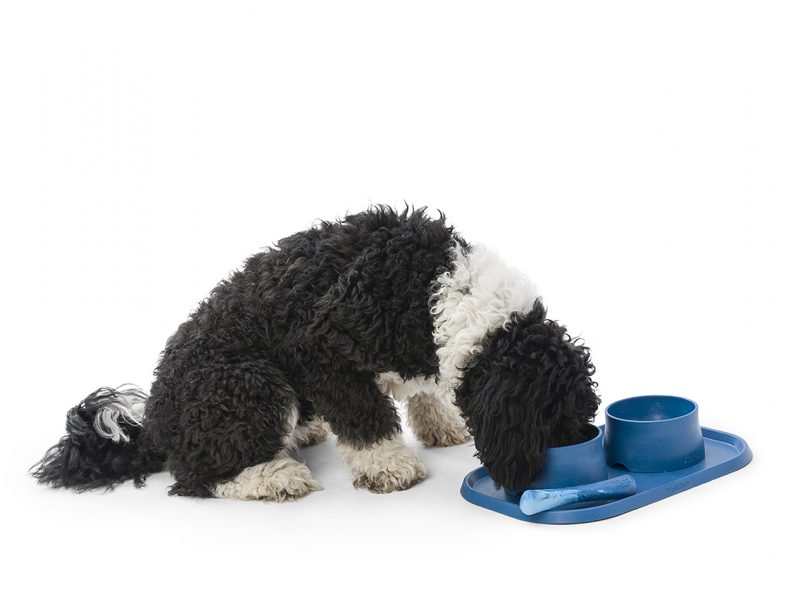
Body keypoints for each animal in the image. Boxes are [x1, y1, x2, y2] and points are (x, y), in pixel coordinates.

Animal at [31, 207, 596, 502]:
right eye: (554, 419)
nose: (576, 449)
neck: (435, 287)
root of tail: (156, 425)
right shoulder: (319, 346)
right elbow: (366, 415)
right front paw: (389, 464)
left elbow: (421, 390)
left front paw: (439, 423)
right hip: (249, 380)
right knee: (198, 475)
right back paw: (272, 476)